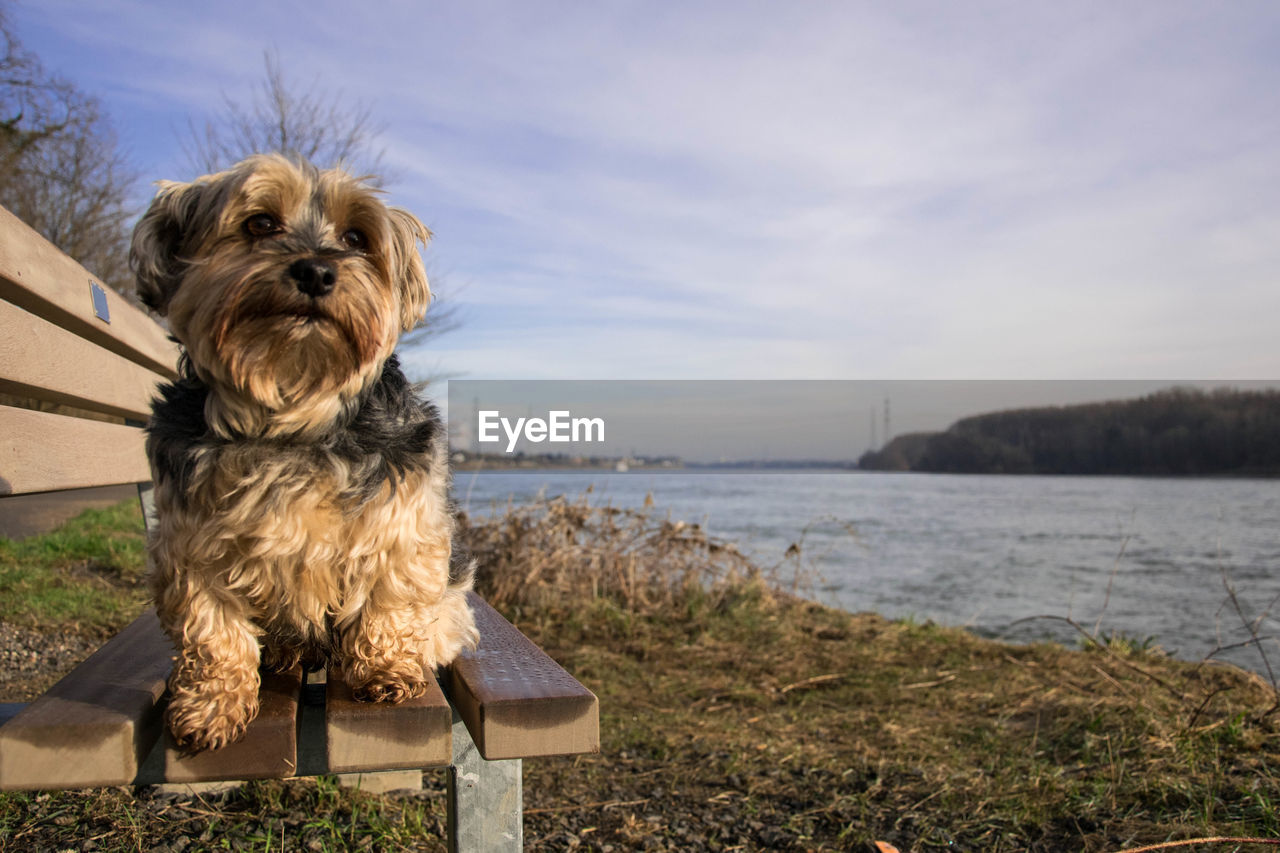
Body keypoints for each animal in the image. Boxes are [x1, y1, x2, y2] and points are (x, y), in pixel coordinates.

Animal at [131, 154, 481, 753]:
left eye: (356, 237)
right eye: (259, 223)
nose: (317, 272)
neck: (295, 415)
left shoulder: (401, 525)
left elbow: (388, 599)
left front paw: (385, 670)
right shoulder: (189, 545)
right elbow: (213, 630)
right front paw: (210, 706)